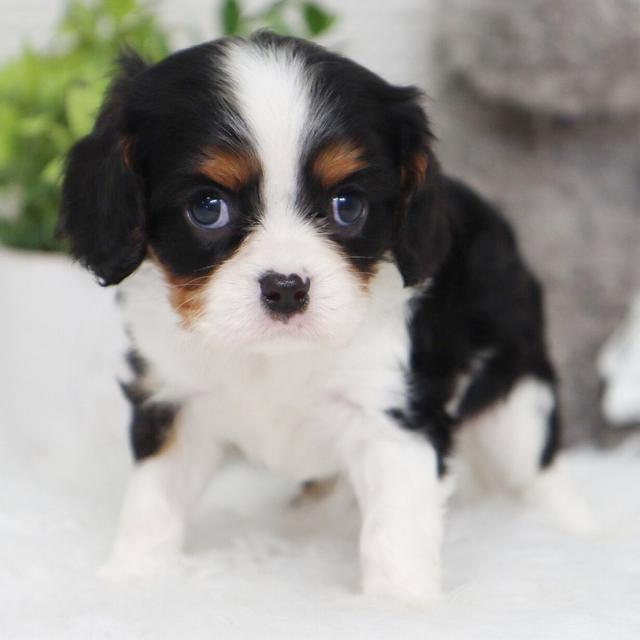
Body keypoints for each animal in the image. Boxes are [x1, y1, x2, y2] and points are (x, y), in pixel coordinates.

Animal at [58, 33, 568, 604]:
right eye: (208, 207)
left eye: (347, 205)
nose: (286, 288)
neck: (273, 355)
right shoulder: (175, 400)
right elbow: (153, 501)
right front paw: (133, 578)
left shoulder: (394, 414)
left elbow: (396, 526)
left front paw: (399, 603)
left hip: (516, 397)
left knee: (538, 467)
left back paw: (567, 532)